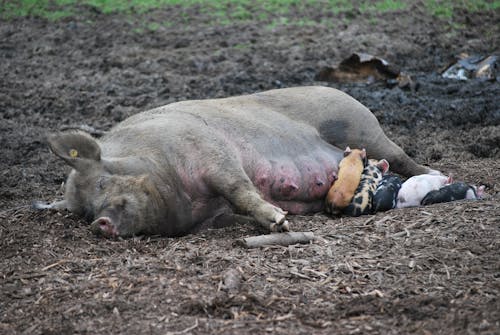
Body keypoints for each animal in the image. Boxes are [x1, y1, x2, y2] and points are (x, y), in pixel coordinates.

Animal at [37, 86, 440, 239]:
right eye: (86, 212)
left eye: (102, 181)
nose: (100, 223)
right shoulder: (211, 216)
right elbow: (234, 213)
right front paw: (274, 221)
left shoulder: (212, 152)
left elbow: (240, 188)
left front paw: (280, 222)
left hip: (362, 127)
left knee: (402, 157)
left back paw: (438, 174)